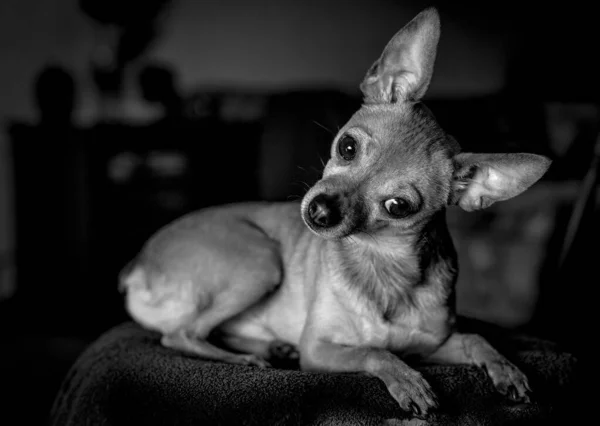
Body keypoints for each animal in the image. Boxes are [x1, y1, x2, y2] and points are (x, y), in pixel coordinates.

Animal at [119, 8, 552, 418]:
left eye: (398, 206)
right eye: (347, 147)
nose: (320, 211)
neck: (383, 264)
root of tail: (136, 265)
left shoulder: (433, 345)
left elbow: (477, 338)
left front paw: (507, 369)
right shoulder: (319, 349)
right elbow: (374, 351)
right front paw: (408, 381)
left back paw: (272, 347)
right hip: (262, 262)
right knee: (181, 334)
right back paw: (249, 358)